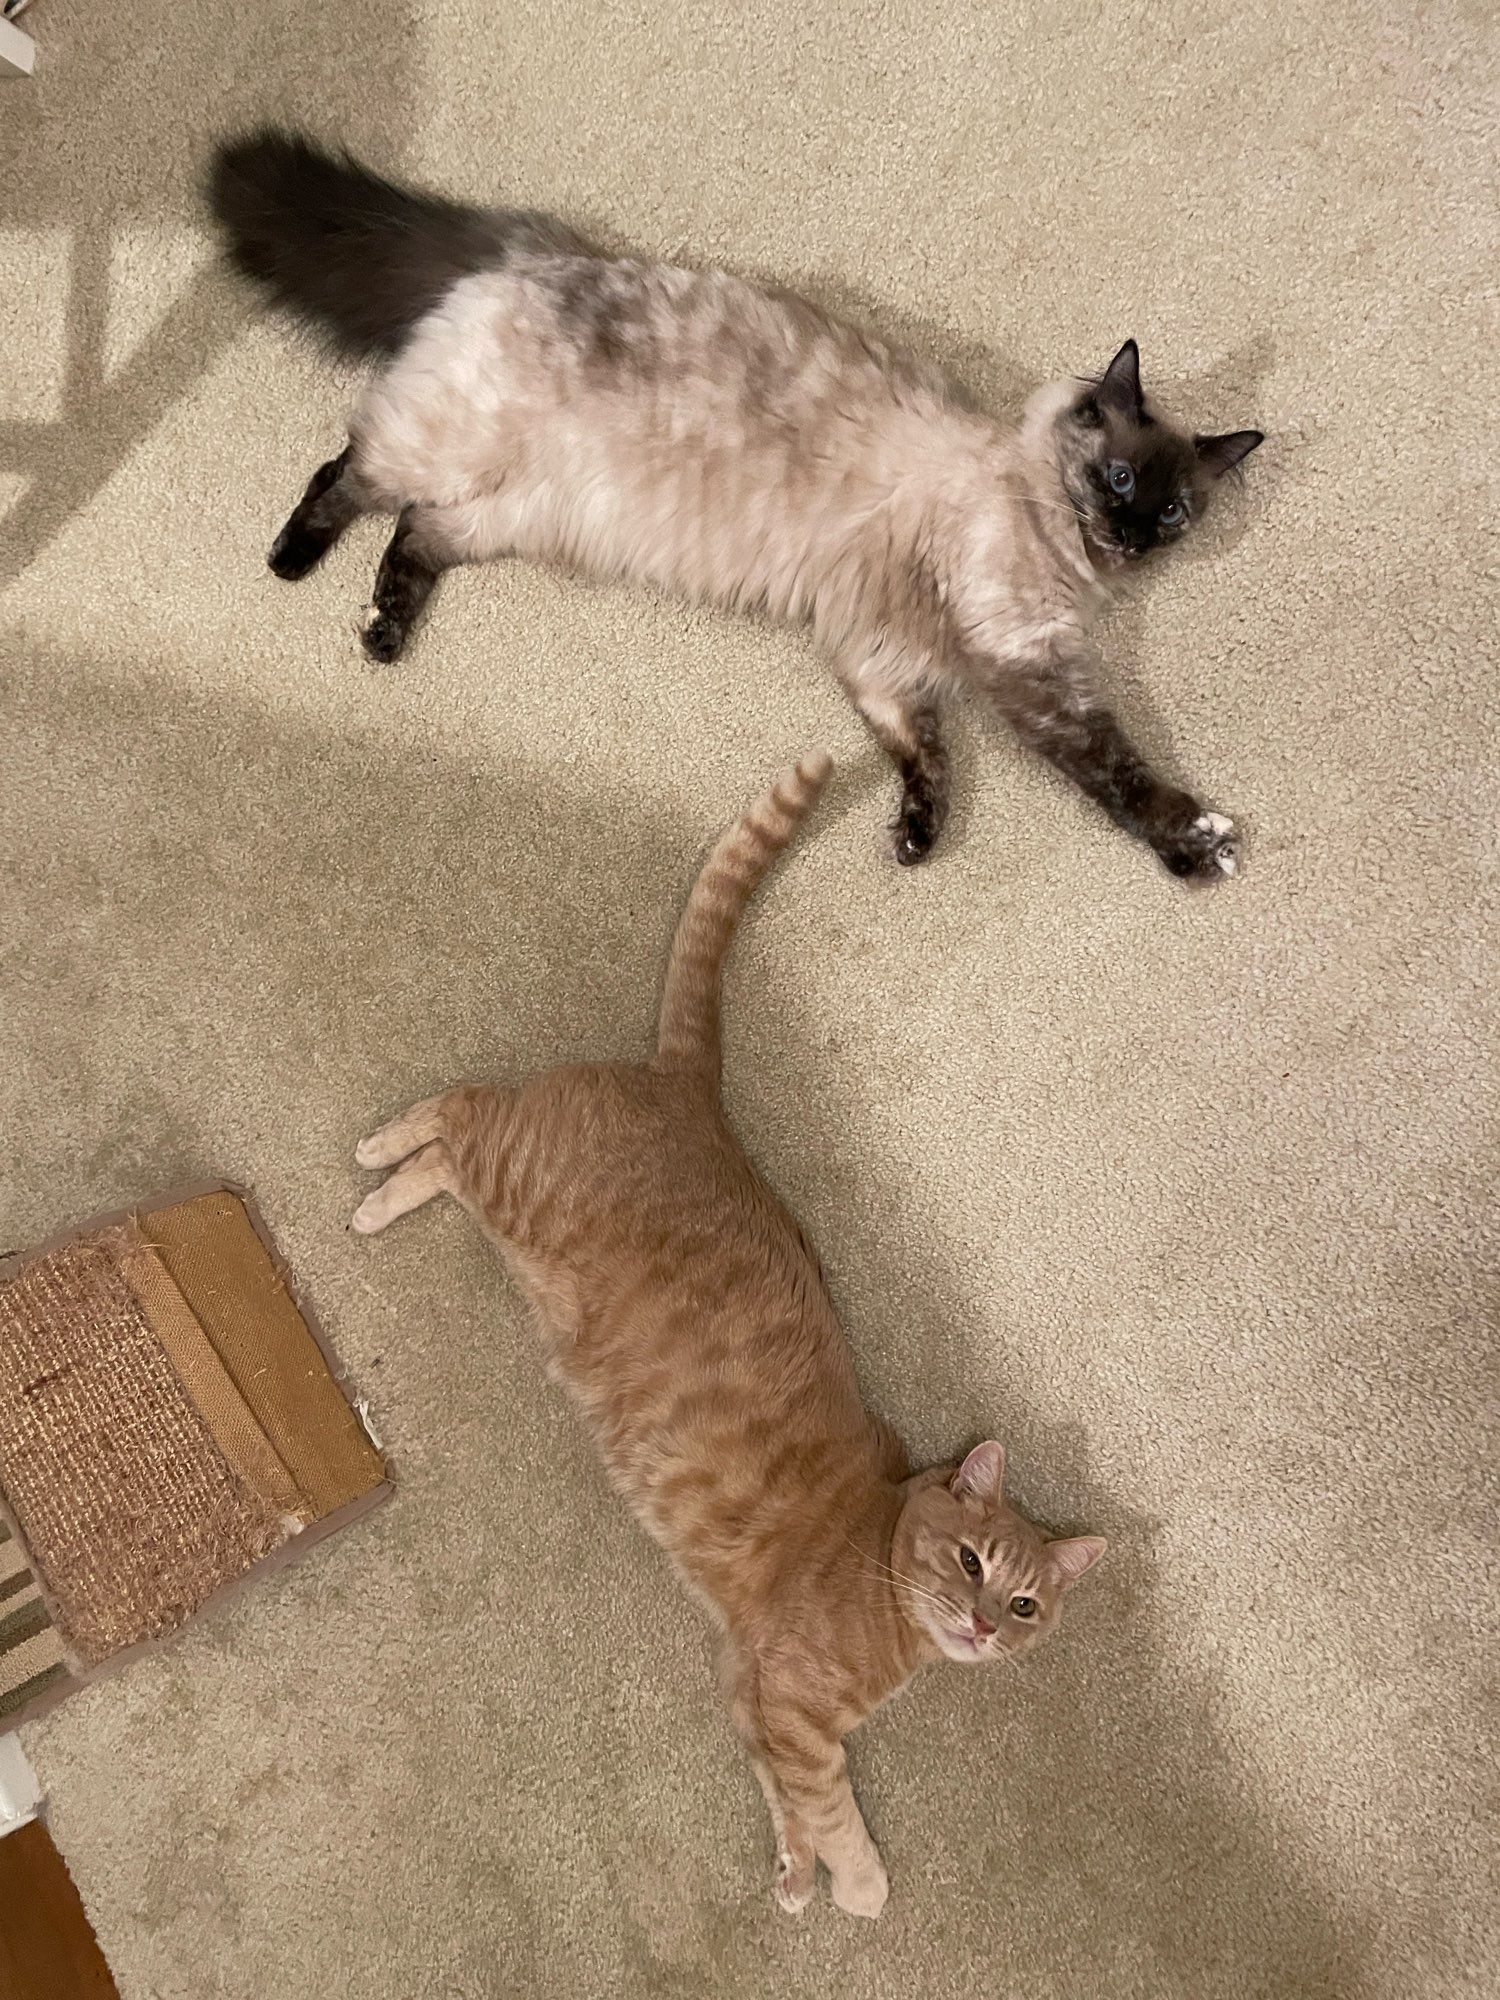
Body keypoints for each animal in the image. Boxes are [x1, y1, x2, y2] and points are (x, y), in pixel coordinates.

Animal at [212, 125, 1272, 876]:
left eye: (1173, 513)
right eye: (1121, 480)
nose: (1129, 535)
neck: (1049, 533)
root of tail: (533, 252)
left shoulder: (881, 655)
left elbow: (924, 752)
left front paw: (916, 839)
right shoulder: (1021, 661)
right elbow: (1112, 770)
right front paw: (1197, 843)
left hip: (512, 513)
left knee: (415, 535)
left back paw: (383, 632)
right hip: (447, 450)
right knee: (348, 473)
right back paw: (292, 563)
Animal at [352, 752, 1104, 1920]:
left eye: (1025, 1602)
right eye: (972, 1559)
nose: (983, 1624)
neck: (883, 1586)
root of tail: (690, 1089)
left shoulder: (752, 1693)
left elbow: (782, 1796)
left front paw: (793, 1870)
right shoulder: (791, 1702)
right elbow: (833, 1805)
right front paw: (857, 1883)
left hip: (512, 1217)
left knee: (452, 1151)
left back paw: (388, 1188)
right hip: (516, 1176)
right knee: (460, 1108)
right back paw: (376, 1166)